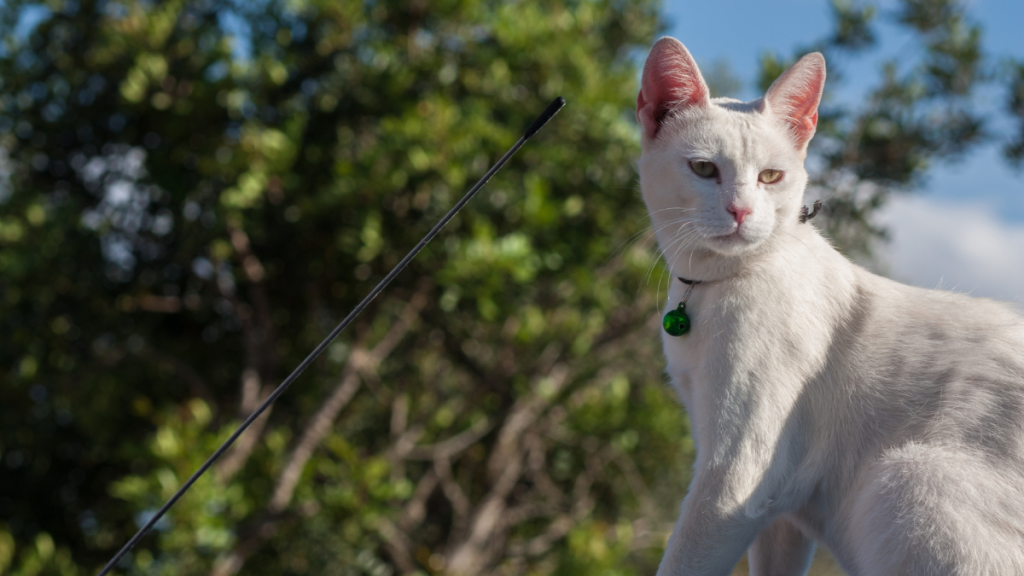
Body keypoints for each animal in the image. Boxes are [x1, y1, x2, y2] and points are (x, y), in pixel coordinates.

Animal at [634, 36, 1024, 573]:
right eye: (703, 169)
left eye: (770, 176)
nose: (741, 211)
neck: (712, 286)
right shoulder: (779, 512)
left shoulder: (735, 480)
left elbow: (681, 562)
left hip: (905, 481)